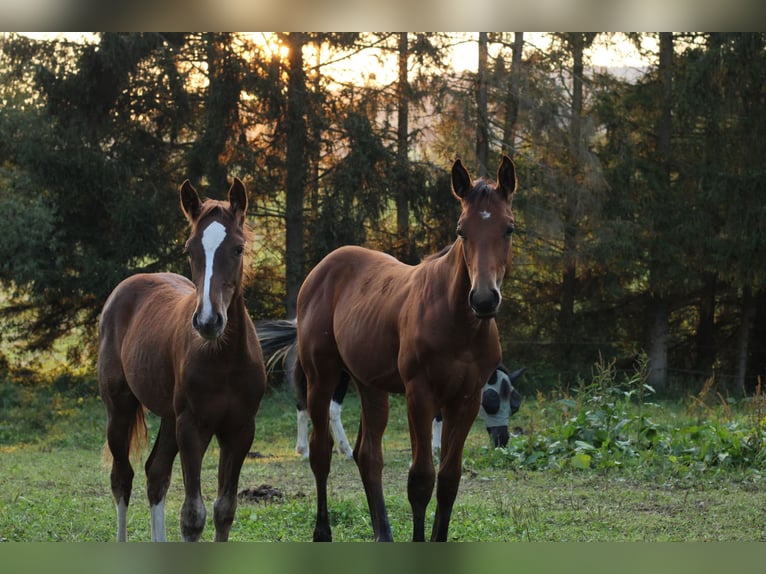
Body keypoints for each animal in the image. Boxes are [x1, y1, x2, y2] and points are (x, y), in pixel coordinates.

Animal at [96, 180, 268, 544]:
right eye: (191, 250)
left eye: (238, 248)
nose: (208, 321)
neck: (224, 359)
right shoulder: (191, 427)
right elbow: (192, 516)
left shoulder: (240, 429)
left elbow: (224, 509)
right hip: (119, 409)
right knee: (122, 477)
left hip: (167, 416)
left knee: (156, 473)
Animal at [255, 320, 524, 460]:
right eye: (490, 401)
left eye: (514, 404)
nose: (502, 440)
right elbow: (437, 416)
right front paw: (436, 449)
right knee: (324, 408)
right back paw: (337, 450)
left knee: (306, 406)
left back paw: (311, 450)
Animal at [296, 155, 520, 544]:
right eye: (461, 230)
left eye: (508, 228)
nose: (483, 299)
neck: (457, 322)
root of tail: (322, 268)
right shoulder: (420, 395)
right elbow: (420, 480)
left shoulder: (465, 399)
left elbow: (448, 480)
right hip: (321, 378)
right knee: (321, 452)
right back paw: (322, 532)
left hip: (370, 385)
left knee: (369, 455)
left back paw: (382, 534)